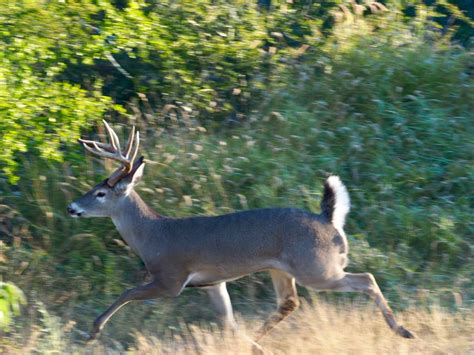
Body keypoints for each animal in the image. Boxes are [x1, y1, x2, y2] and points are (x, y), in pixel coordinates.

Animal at [67, 121, 414, 346]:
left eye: (100, 193)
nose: (72, 207)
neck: (152, 235)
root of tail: (328, 220)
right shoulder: (211, 283)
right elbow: (228, 321)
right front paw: (252, 346)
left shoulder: (171, 278)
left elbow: (126, 293)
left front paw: (92, 332)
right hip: (282, 268)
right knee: (290, 302)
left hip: (317, 268)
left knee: (366, 278)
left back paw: (403, 330)